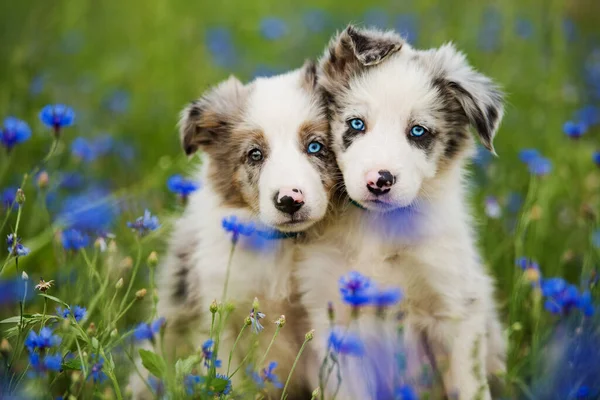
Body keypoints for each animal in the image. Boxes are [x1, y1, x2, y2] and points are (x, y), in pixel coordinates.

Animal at [131, 61, 338, 396]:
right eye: (255, 154)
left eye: (315, 146)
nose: (289, 201)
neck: (285, 247)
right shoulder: (217, 315)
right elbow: (225, 379)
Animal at [296, 26, 506, 398]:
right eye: (356, 124)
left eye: (418, 131)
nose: (379, 181)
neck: (376, 232)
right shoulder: (337, 322)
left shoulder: (454, 310)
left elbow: (468, 388)